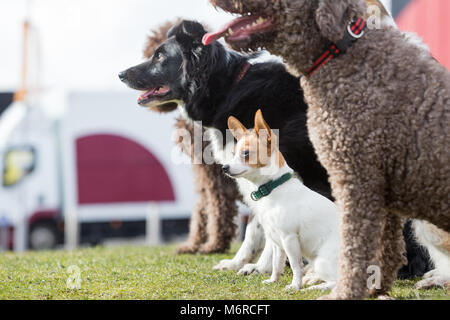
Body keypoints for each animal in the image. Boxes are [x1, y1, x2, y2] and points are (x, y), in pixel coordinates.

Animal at [225, 110, 342, 290]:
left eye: (245, 154)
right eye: (233, 154)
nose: (224, 167)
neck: (273, 188)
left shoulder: (289, 238)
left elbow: (295, 265)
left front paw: (294, 286)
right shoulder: (276, 241)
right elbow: (276, 263)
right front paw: (273, 280)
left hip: (322, 261)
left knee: (337, 282)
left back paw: (315, 287)